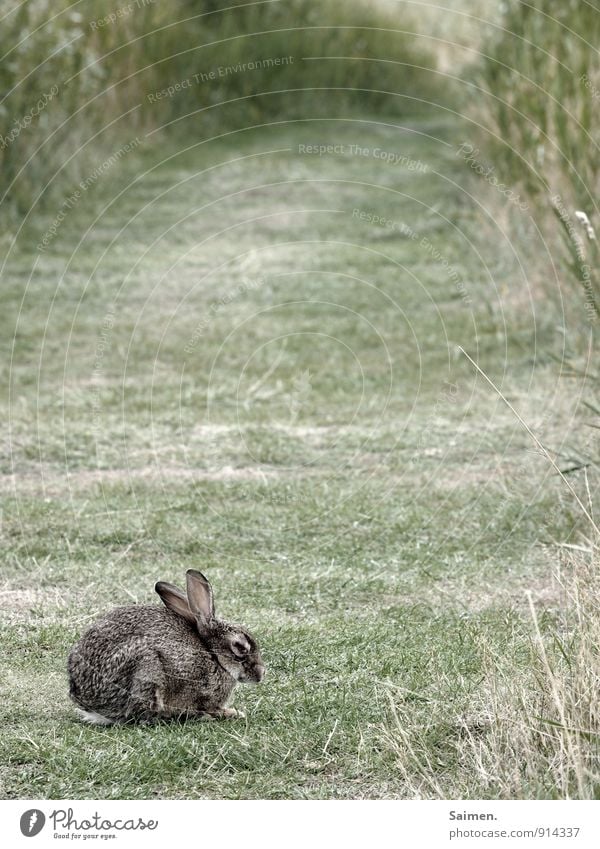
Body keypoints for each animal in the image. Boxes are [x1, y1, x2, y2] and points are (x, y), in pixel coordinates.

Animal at [67, 568, 264, 724]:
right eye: (240, 647)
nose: (261, 674)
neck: (213, 655)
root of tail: (90, 704)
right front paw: (232, 713)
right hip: (146, 672)